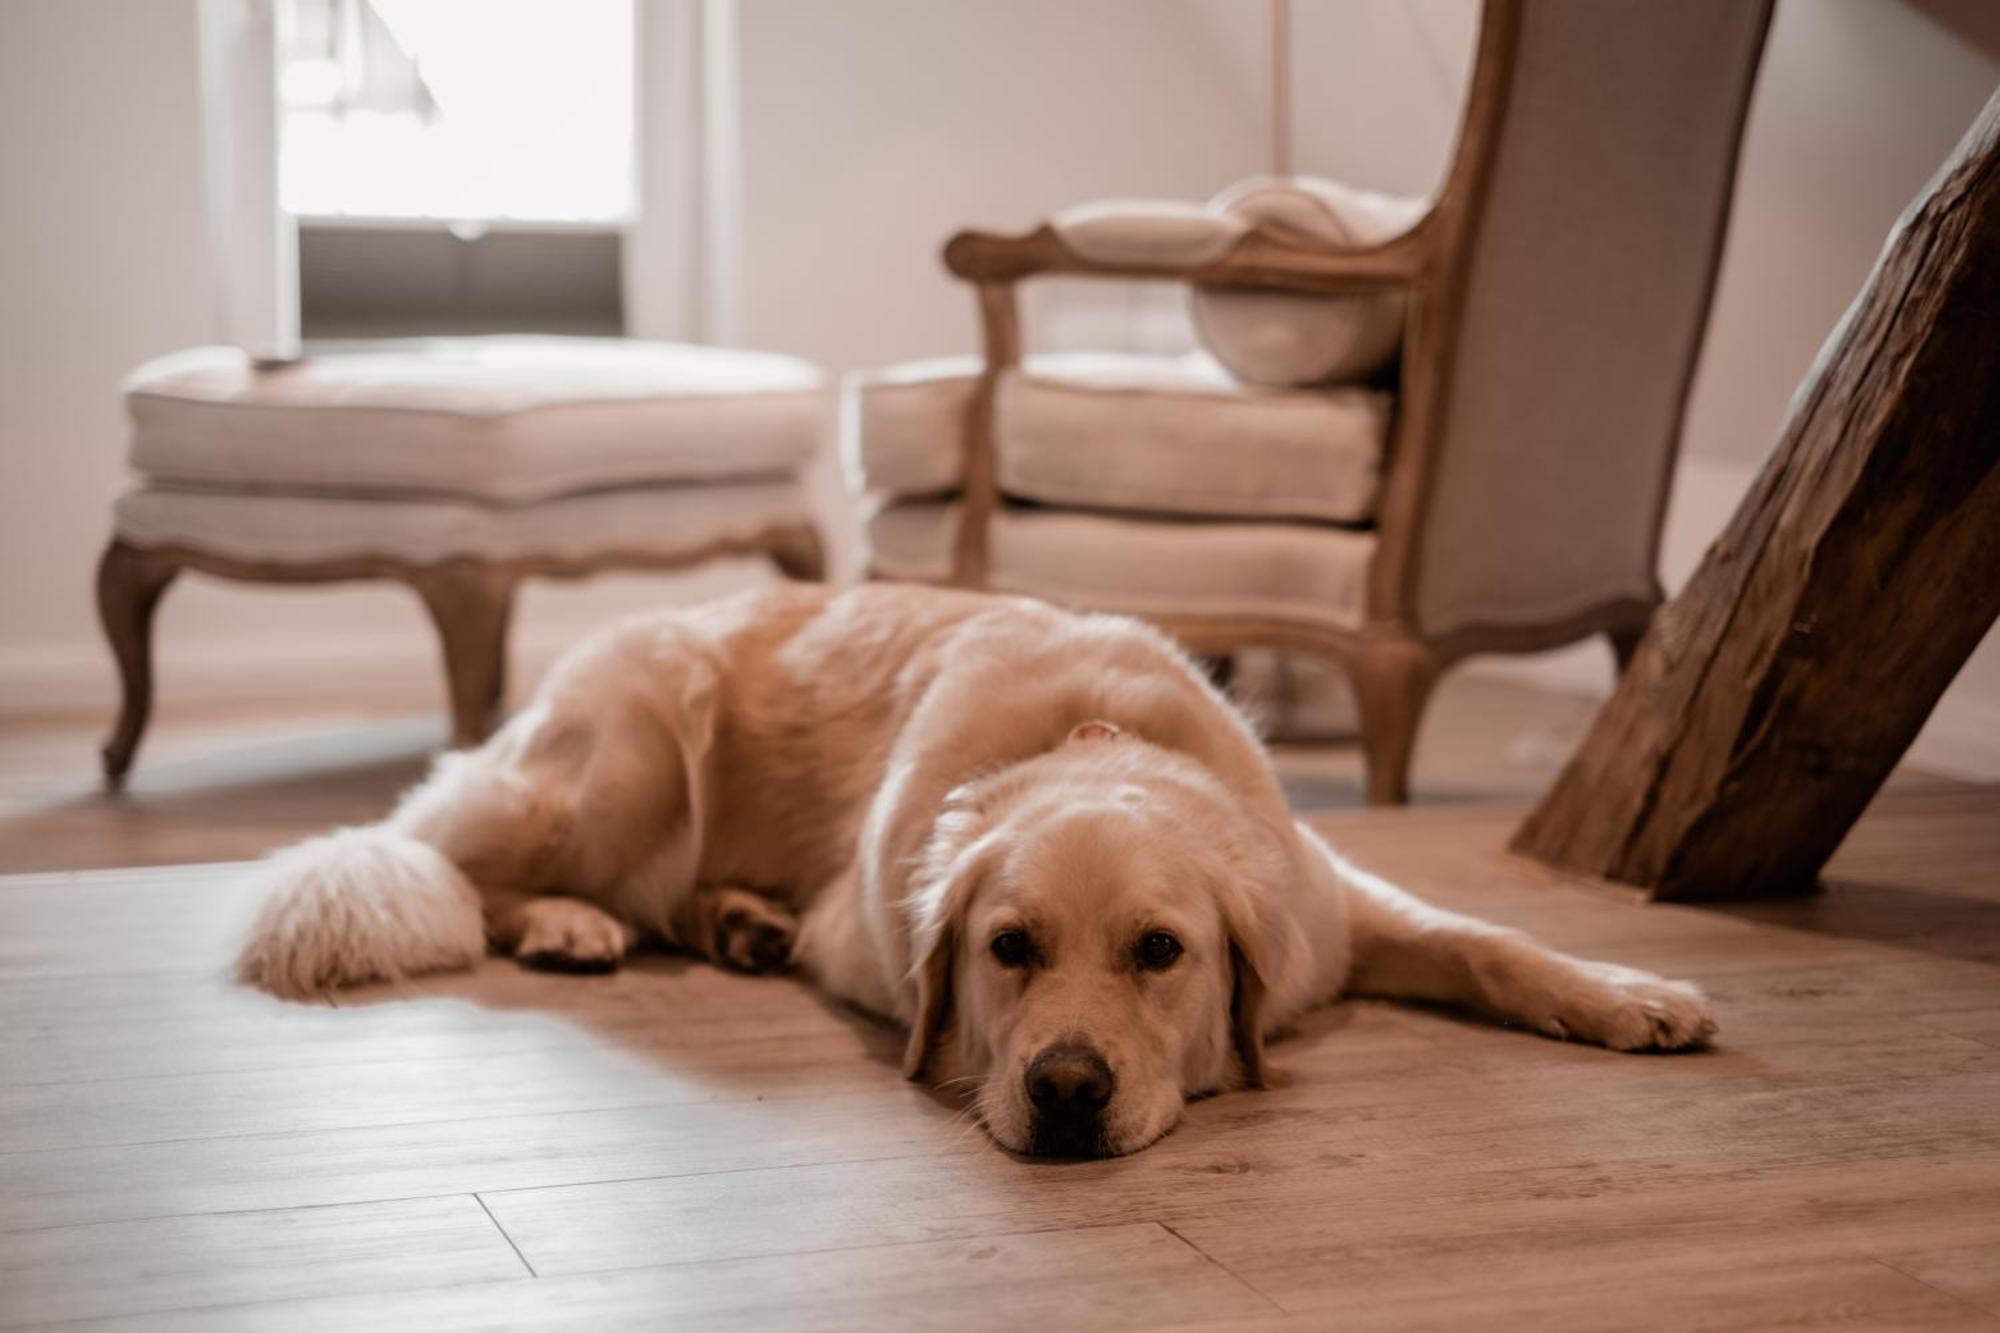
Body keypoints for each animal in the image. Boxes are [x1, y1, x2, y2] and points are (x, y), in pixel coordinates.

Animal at [238, 580, 1720, 1152]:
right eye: (1008, 949)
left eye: (1161, 951)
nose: (1065, 1091)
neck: (1089, 737)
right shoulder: (865, 928)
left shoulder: (1327, 904)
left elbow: (1487, 940)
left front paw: (1627, 994)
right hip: (629, 769)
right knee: (456, 860)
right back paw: (567, 922)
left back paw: (732, 922)